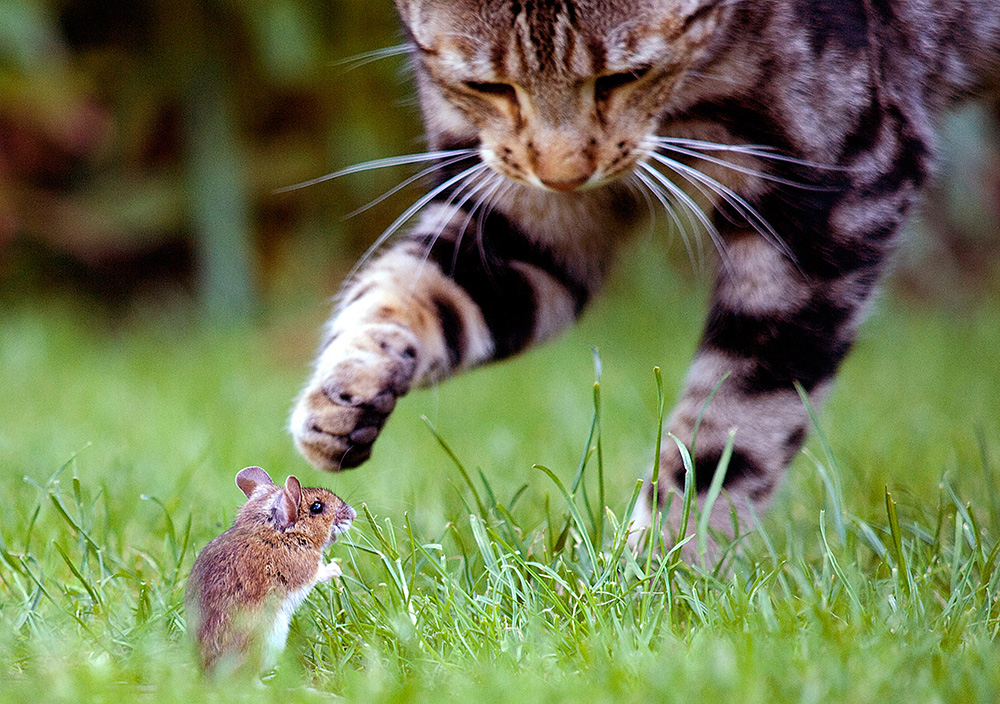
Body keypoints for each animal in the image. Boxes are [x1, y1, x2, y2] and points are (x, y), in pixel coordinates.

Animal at [286, 0, 1000, 544]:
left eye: (624, 77)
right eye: (489, 86)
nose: (564, 174)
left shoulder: (833, 196)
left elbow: (733, 429)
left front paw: (664, 581)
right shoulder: (528, 228)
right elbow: (402, 292)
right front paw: (340, 397)